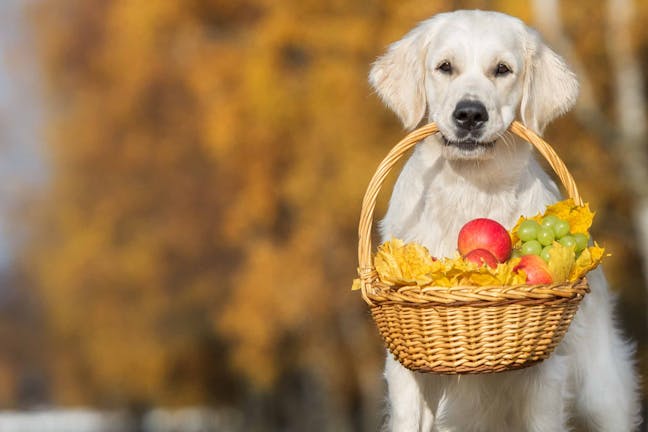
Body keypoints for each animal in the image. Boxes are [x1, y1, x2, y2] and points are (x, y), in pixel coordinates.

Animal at [368, 10, 640, 432]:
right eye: (445, 67)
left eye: (502, 69)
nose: (469, 114)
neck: (471, 188)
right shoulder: (407, 365)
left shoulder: (545, 373)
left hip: (602, 395)